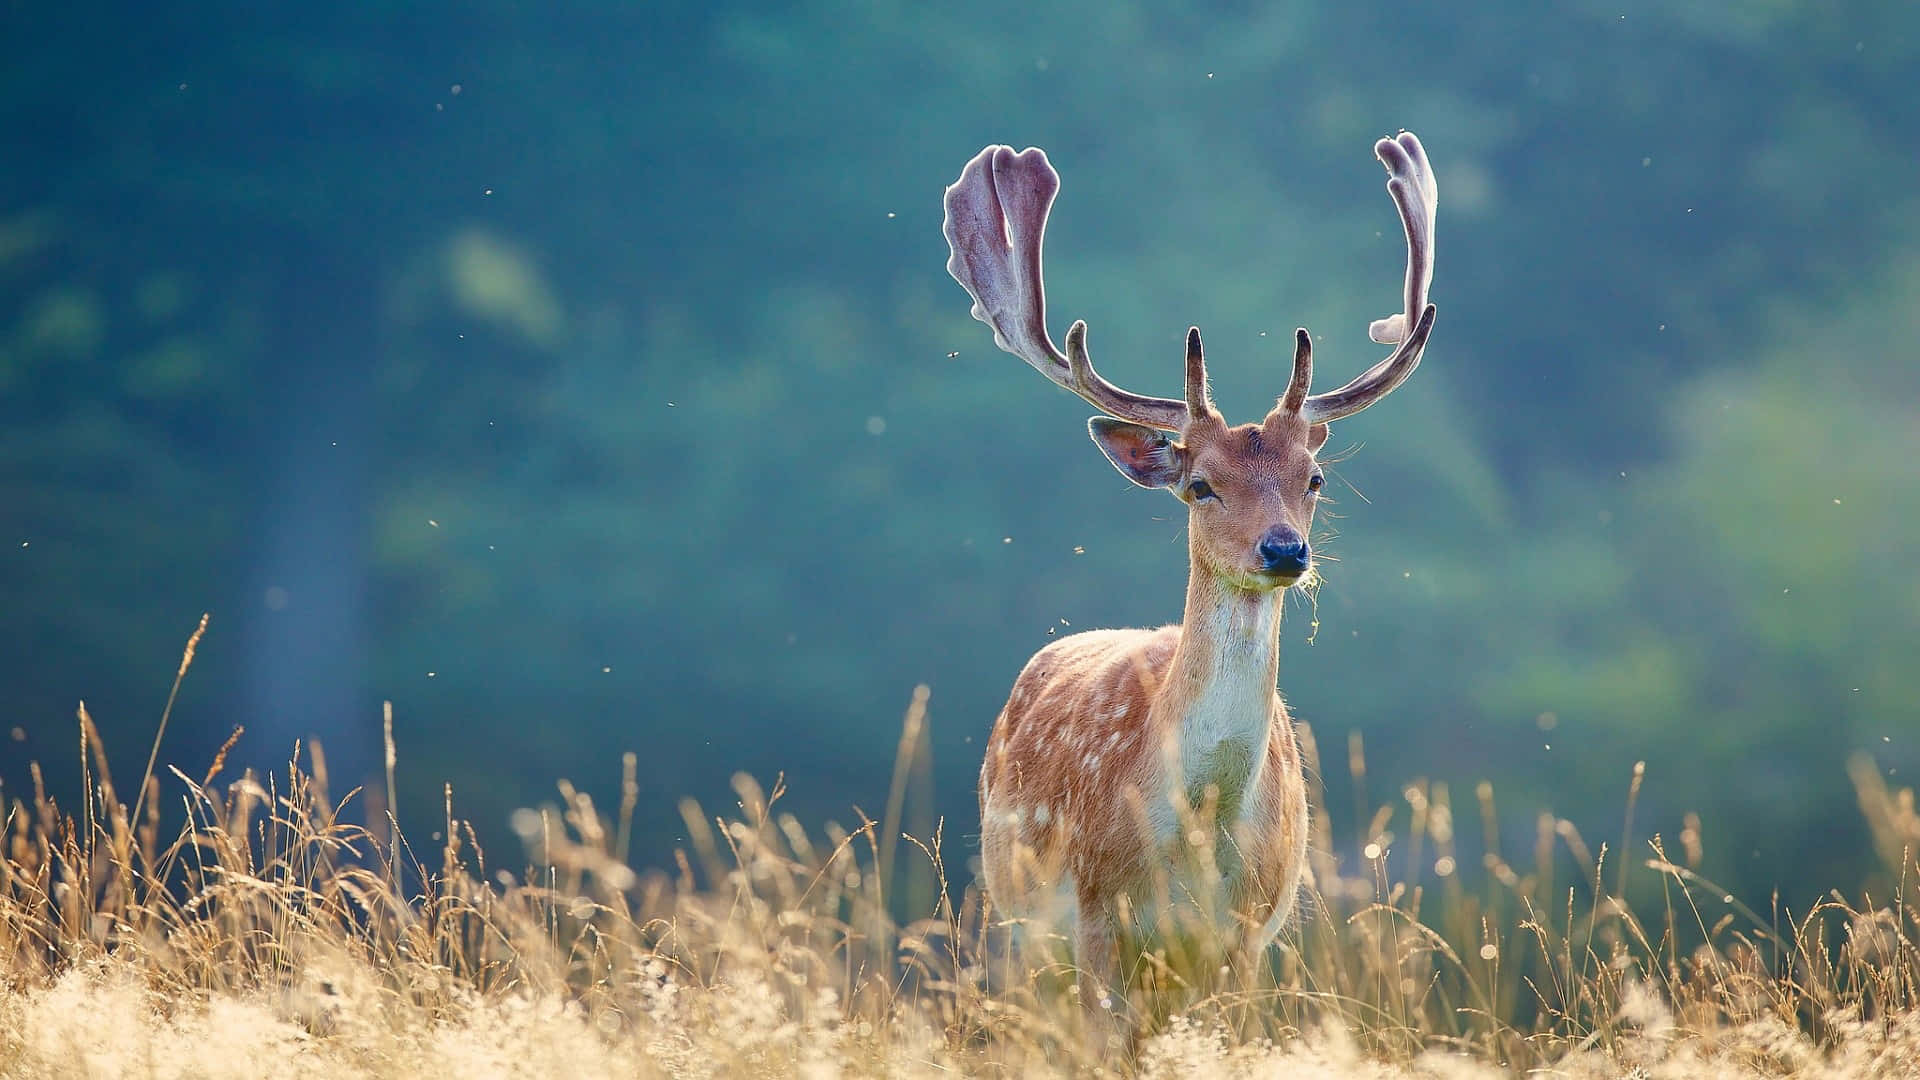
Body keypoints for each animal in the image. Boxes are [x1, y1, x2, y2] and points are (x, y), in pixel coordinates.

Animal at [942, 131, 1437, 1041]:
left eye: (1313, 478)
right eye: (1201, 484)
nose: (1284, 550)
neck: (1194, 836)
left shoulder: (1245, 934)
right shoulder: (1093, 918)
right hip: (1015, 923)